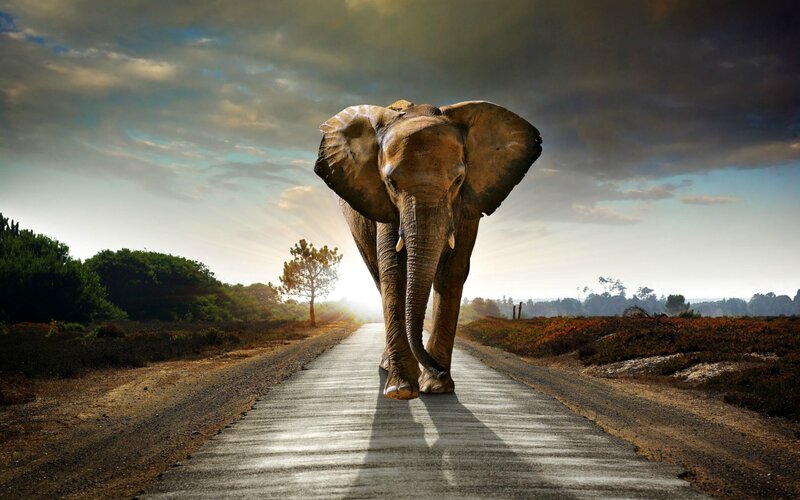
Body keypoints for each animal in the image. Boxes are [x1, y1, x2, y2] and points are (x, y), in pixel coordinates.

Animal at [314, 99, 542, 400]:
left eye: (458, 181)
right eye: (391, 183)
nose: (437, 368)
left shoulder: (468, 204)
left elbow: (452, 272)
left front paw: (437, 387)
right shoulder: (385, 205)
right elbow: (394, 271)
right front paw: (401, 390)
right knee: (378, 276)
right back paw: (389, 369)